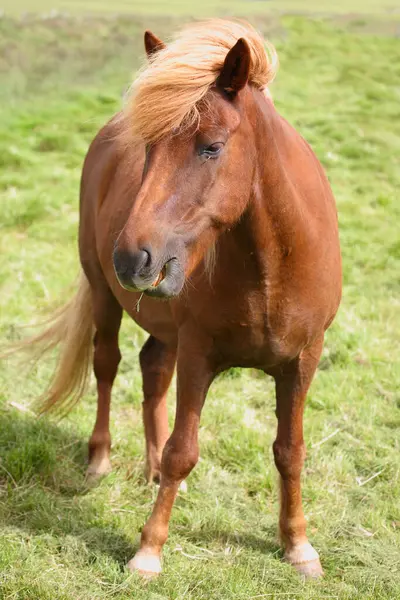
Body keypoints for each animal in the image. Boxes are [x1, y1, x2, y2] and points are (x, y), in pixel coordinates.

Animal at [14, 18, 340, 580]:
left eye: (211, 147)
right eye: (148, 148)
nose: (131, 258)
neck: (272, 268)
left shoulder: (303, 360)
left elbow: (290, 451)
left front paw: (298, 545)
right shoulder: (199, 355)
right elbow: (182, 450)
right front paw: (149, 551)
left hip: (165, 328)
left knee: (152, 371)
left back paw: (146, 468)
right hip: (103, 296)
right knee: (107, 364)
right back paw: (99, 459)